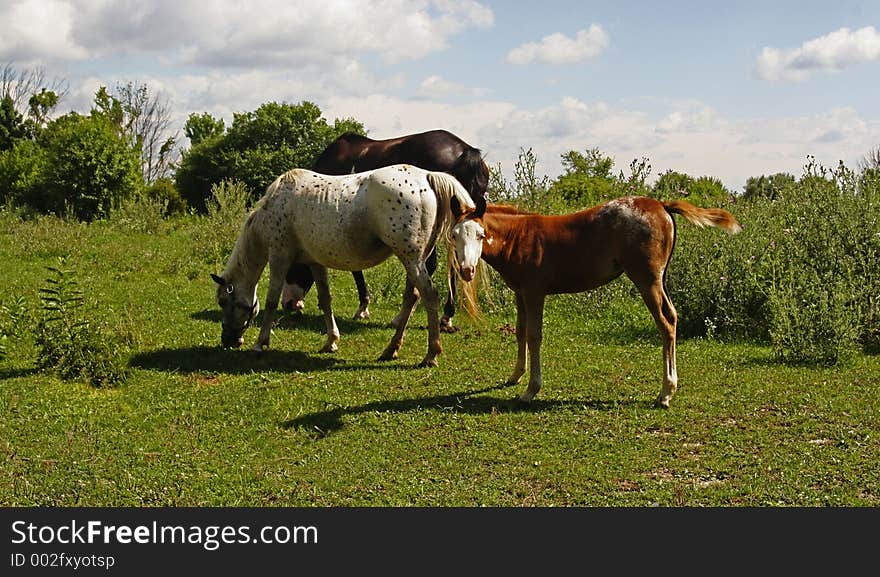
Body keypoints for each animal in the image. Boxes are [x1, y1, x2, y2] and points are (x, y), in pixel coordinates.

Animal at [280, 129, 488, 330]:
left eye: (293, 265)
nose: (289, 304)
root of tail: (465, 151)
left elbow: (355, 267)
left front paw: (363, 308)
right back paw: (445, 318)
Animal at [446, 200, 744, 408]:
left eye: (480, 235)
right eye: (454, 235)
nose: (466, 270)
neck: (519, 236)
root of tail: (661, 205)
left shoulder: (534, 292)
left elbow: (534, 336)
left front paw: (530, 391)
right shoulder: (520, 293)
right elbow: (520, 332)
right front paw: (515, 376)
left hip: (647, 279)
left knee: (666, 322)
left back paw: (665, 393)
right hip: (661, 279)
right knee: (673, 316)